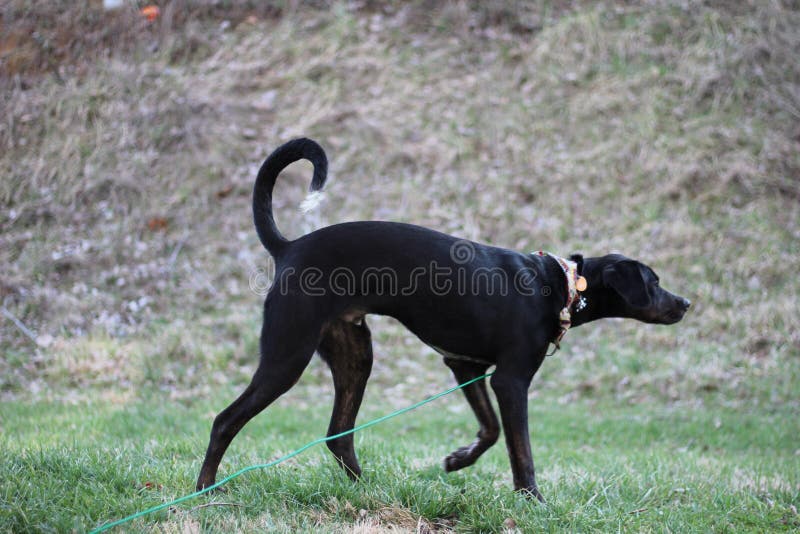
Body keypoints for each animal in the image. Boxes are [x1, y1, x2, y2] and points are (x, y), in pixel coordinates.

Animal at [197, 138, 692, 502]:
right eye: (653, 281)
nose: (685, 303)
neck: (560, 285)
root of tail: (289, 247)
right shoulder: (510, 379)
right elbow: (520, 448)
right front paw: (532, 500)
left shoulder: (465, 367)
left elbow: (490, 431)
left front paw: (458, 460)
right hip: (287, 356)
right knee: (225, 420)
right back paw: (204, 490)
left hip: (355, 354)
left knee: (338, 435)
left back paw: (369, 492)